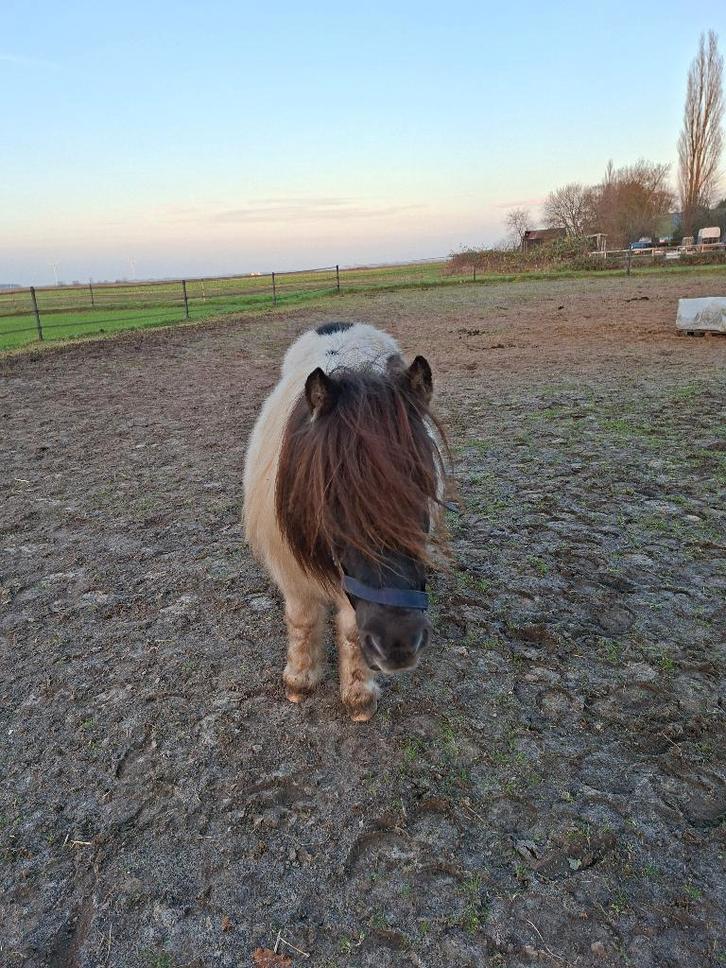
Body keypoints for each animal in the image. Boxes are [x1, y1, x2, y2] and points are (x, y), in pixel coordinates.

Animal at [243, 321, 448, 720]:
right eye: (330, 497)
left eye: (425, 484)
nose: (398, 644)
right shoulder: (291, 570)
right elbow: (303, 620)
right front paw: (299, 680)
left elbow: (353, 632)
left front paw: (358, 695)